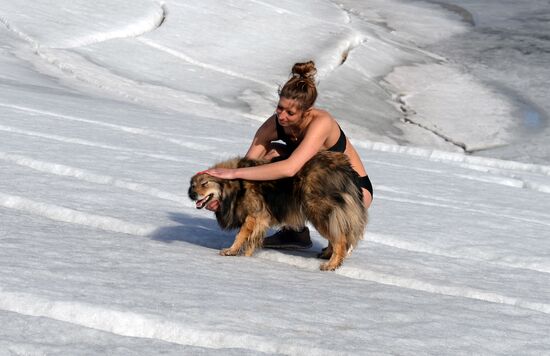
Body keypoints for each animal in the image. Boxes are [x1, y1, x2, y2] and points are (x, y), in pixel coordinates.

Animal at [188, 150, 368, 270]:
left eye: (205, 183)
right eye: (193, 185)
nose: (192, 194)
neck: (237, 186)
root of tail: (345, 169)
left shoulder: (253, 216)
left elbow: (241, 235)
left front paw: (231, 251)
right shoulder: (260, 220)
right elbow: (251, 241)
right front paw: (246, 257)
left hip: (318, 211)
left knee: (340, 239)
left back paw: (331, 264)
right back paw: (327, 255)